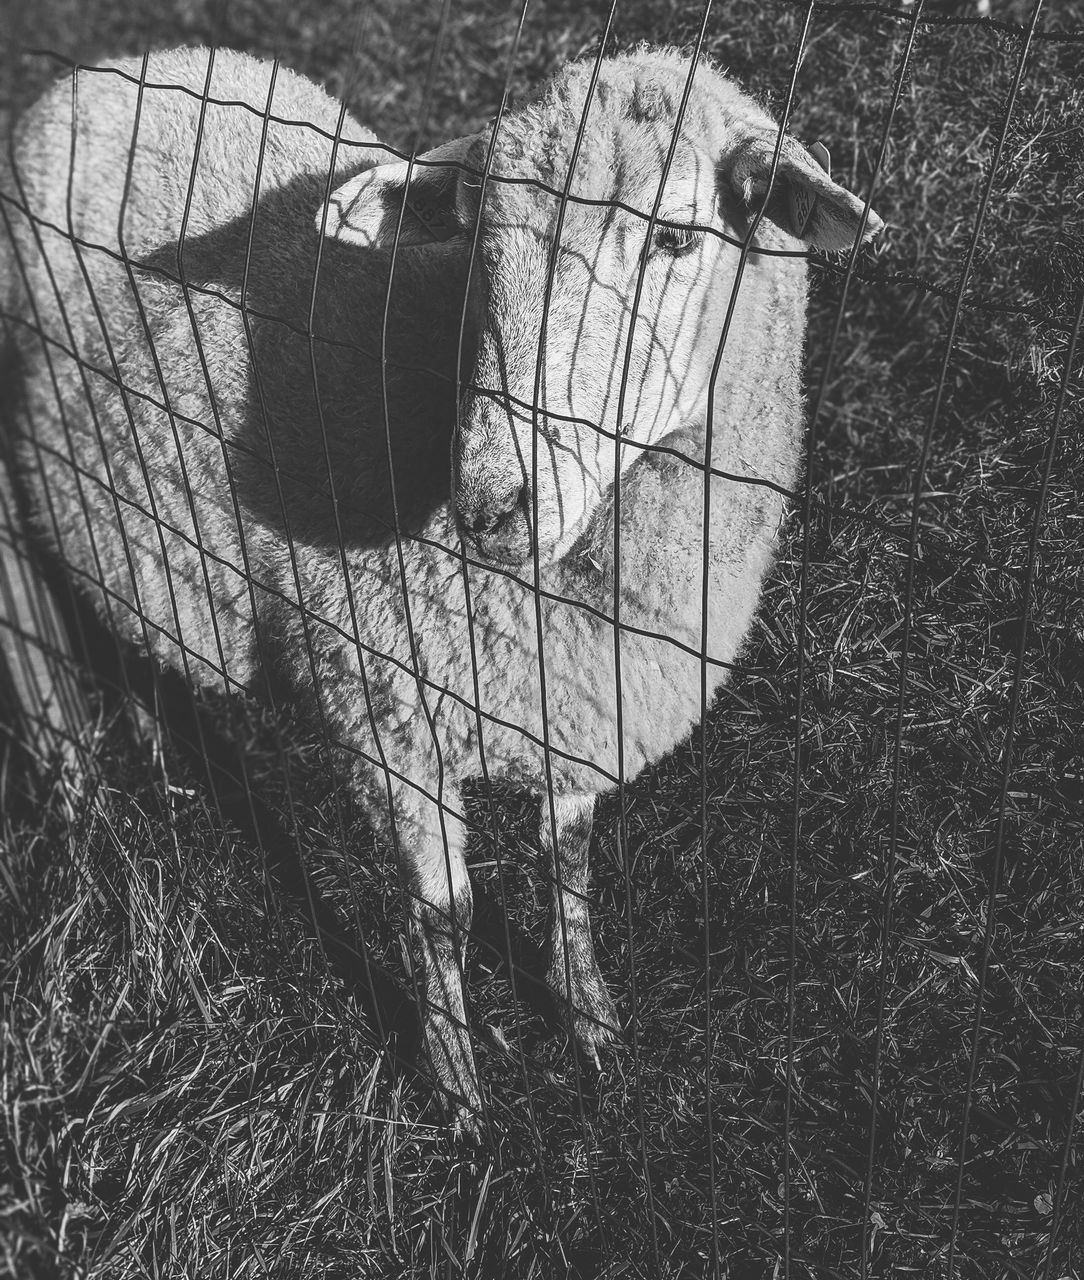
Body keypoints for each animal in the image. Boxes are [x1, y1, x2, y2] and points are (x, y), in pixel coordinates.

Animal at [0, 45, 880, 1136]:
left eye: (676, 237)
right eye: (477, 242)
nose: (493, 503)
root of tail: (113, 68)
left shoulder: (576, 700)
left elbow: (568, 864)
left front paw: (591, 1022)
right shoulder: (381, 698)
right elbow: (441, 914)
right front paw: (459, 1094)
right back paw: (75, 779)